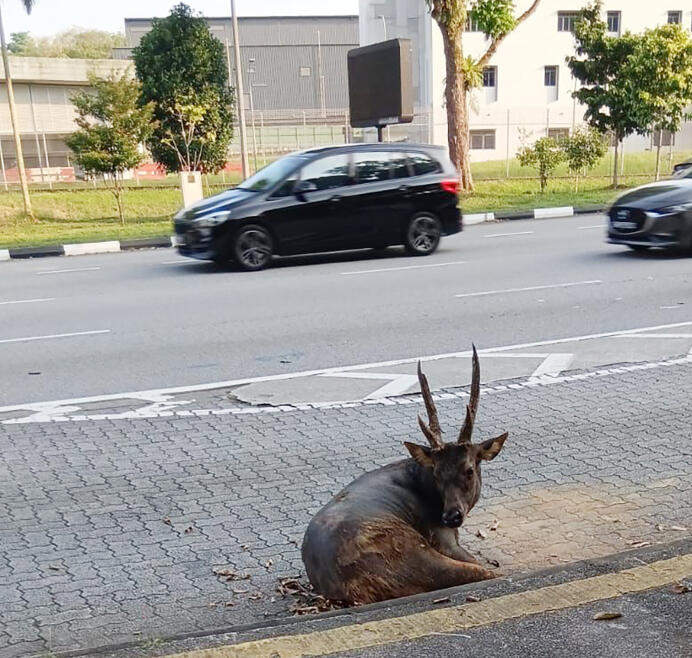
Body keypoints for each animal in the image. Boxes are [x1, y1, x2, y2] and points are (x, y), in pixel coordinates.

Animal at [301, 347, 508, 605]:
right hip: (408, 550)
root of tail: (357, 590)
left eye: (469, 470)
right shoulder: (441, 536)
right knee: (480, 571)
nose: (451, 516)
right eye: (437, 474)